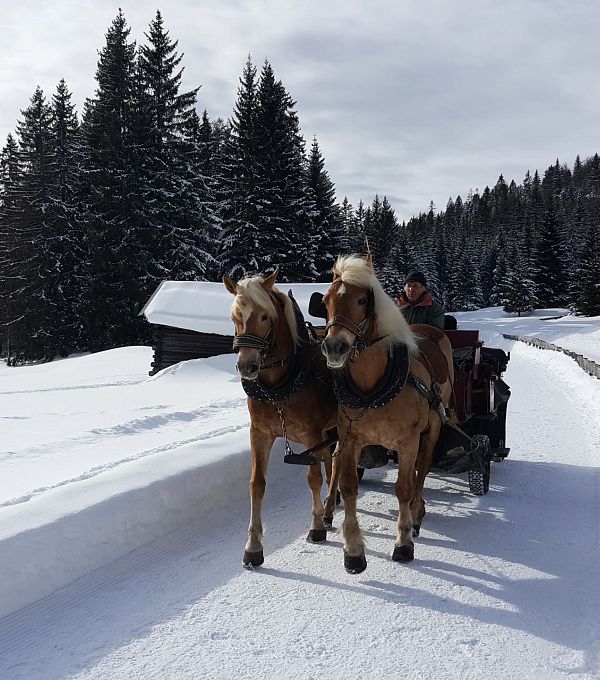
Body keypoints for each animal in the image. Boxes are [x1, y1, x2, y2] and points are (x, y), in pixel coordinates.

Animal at [224, 270, 340, 568]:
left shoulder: (311, 434)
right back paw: (331, 504)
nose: (246, 366)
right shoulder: (260, 433)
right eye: (235, 317)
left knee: (335, 463)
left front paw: (316, 528)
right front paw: (253, 547)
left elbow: (313, 478)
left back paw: (329, 507)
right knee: (330, 460)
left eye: (265, 316)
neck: (280, 388)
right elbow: (257, 484)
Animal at [322, 255, 452, 572]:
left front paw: (403, 543)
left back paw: (417, 514)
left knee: (422, 469)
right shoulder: (351, 439)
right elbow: (348, 486)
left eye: (361, 300)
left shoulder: (408, 442)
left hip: (433, 428)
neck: (374, 386)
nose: (334, 347)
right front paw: (353, 550)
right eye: (326, 300)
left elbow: (404, 488)